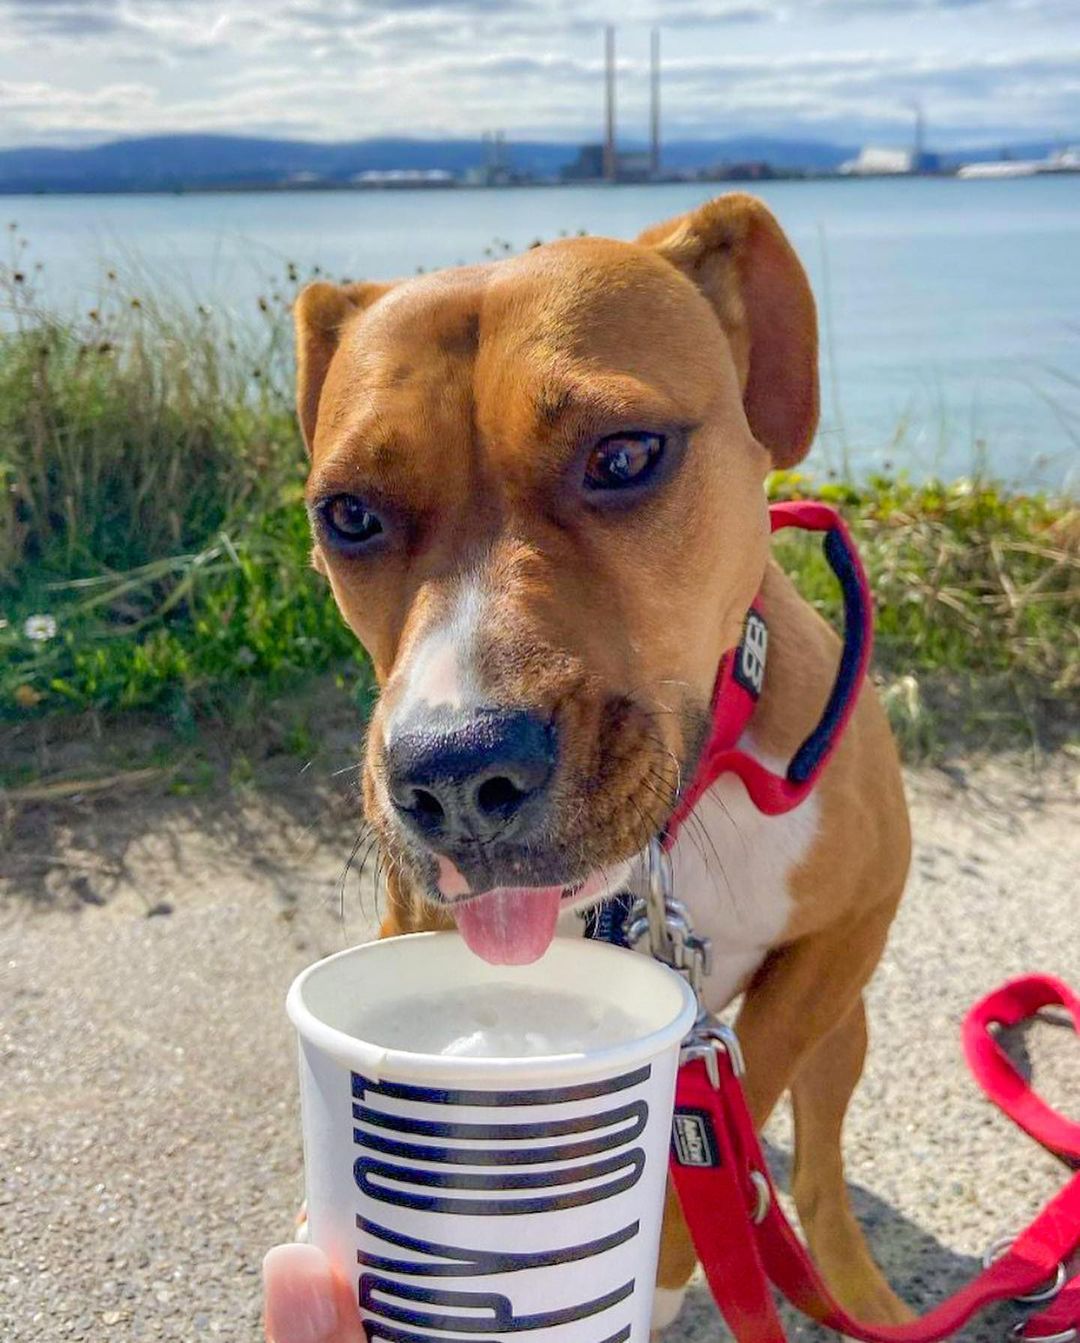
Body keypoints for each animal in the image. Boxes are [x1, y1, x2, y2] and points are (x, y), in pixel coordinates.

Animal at [293, 193, 912, 1331]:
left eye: (624, 456)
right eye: (347, 514)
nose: (455, 772)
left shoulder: (848, 932)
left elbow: (740, 1104)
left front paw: (663, 1268)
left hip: (847, 1030)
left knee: (817, 1171)